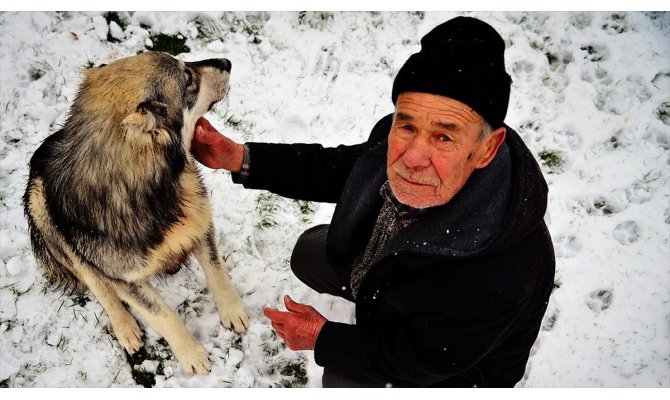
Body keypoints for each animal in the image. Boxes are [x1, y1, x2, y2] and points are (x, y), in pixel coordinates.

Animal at [23, 50, 251, 376]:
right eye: (188, 79)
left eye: (185, 64)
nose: (227, 62)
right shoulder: (124, 277)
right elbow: (162, 314)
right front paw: (191, 353)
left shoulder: (198, 219)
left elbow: (216, 268)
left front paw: (232, 309)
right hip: (42, 208)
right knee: (97, 283)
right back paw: (124, 325)